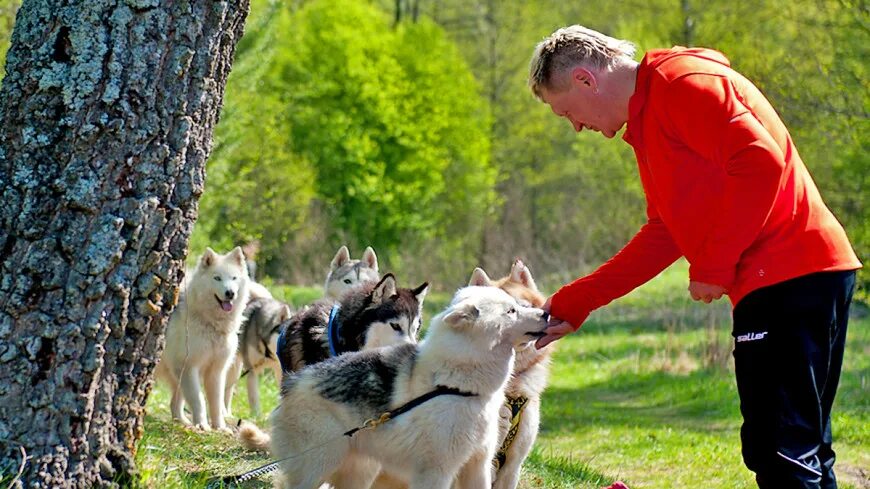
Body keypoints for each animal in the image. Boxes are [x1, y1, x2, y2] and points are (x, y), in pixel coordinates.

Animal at [156, 246, 249, 428]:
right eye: (217, 278)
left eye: (234, 278)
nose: (230, 293)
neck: (210, 323)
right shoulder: (188, 367)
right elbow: (199, 400)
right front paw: (202, 425)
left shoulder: (216, 371)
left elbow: (216, 402)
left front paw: (219, 427)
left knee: (174, 404)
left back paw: (182, 423)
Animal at [270, 286, 548, 488]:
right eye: (511, 311)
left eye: (518, 306)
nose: (545, 313)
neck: (453, 384)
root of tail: (295, 381)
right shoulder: (437, 472)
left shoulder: (477, 466)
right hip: (320, 466)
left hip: (359, 473)